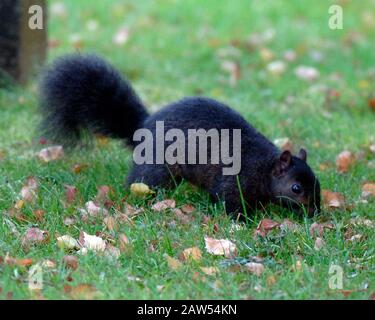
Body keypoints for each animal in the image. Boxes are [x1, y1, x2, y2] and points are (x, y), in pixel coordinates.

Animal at [39, 53, 322, 216]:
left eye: (317, 184)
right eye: (296, 188)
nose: (315, 212)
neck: (263, 166)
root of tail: (143, 128)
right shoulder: (234, 181)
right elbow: (228, 202)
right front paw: (242, 220)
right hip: (157, 168)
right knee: (141, 182)